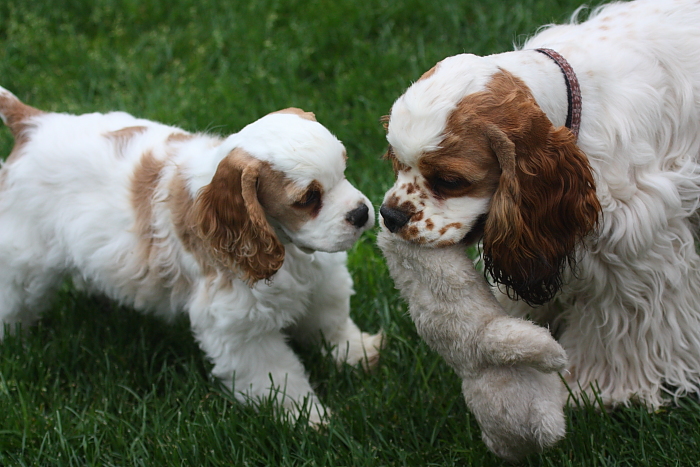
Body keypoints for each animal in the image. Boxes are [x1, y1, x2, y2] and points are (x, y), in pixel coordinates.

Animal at [0, 86, 381, 425]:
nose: (361, 213)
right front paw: (309, 418)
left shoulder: (323, 277)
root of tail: (34, 122)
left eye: (344, 169)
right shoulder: (240, 329)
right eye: (308, 199)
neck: (287, 247)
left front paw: (358, 352)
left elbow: (331, 320)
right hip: (24, 261)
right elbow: (280, 377)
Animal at [379, 0, 700, 410]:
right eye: (397, 163)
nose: (390, 215)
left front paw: (592, 387)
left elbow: (620, 327)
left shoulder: (636, 250)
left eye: (450, 181)